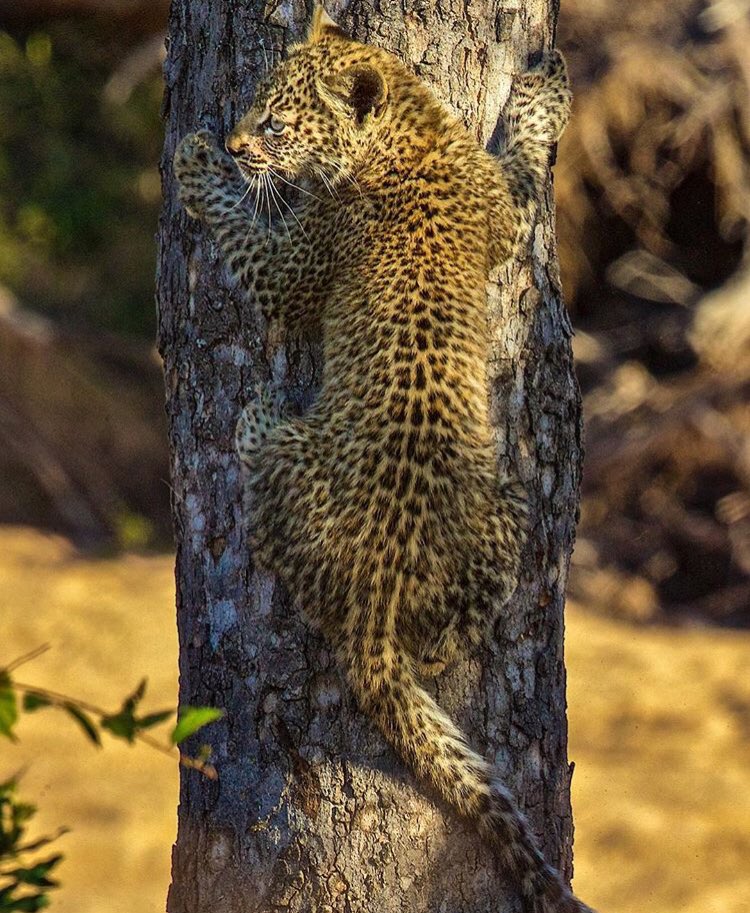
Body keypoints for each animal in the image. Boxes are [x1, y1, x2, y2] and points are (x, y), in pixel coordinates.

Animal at [173, 7, 592, 913]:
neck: (410, 127)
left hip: (311, 468)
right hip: (505, 507)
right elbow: (523, 160)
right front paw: (545, 90)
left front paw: (195, 163)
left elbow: (245, 234)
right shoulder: (504, 209)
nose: (235, 141)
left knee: (267, 457)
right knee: (440, 645)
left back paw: (260, 413)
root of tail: (376, 588)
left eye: (275, 123)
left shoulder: (294, 271)